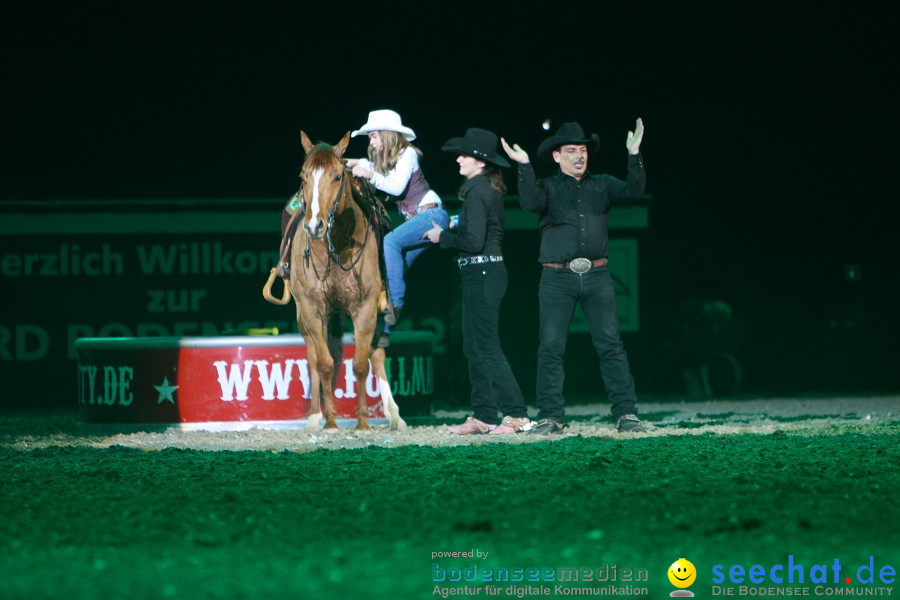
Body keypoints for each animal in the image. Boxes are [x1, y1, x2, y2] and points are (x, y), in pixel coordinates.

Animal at [270, 131, 404, 432]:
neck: (335, 249)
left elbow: (361, 364)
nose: (314, 226)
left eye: (337, 176)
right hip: (306, 315)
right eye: (303, 176)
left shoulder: (366, 308)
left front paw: (363, 422)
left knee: (377, 353)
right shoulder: (311, 309)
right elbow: (324, 363)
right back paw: (314, 416)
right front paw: (330, 421)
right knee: (313, 354)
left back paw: (394, 414)